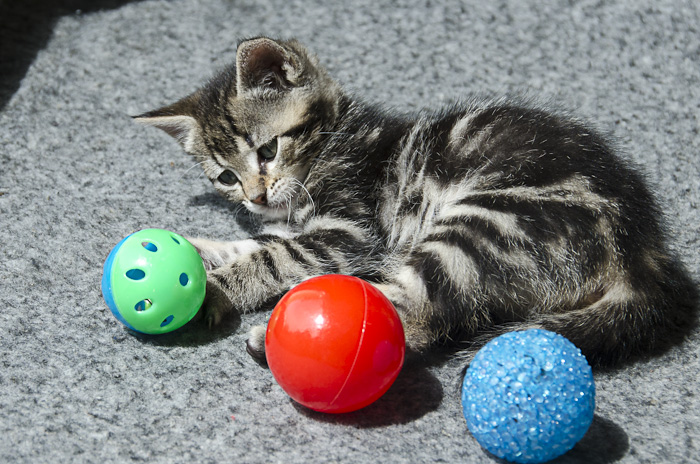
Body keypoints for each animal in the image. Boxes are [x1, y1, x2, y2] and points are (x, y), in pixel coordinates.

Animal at [135, 37, 696, 366]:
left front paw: (215, 290)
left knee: (421, 314)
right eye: (227, 177)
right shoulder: (295, 226)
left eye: (268, 150)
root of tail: (643, 248)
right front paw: (193, 252)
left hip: (481, 224)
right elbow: (254, 244)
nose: (253, 197)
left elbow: (274, 257)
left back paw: (276, 340)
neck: (335, 141)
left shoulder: (350, 233)